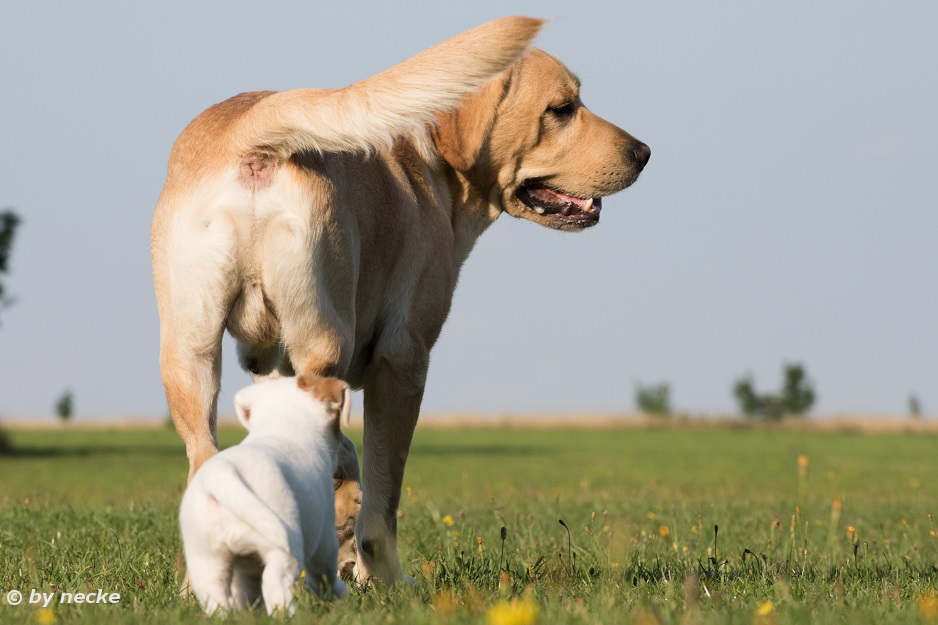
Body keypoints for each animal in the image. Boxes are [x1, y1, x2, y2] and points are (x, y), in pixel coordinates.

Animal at [150, 15, 648, 584]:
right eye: (562, 108)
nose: (644, 152)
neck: (431, 162)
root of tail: (248, 129)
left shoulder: (270, 367)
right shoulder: (403, 360)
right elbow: (382, 498)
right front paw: (385, 578)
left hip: (190, 355)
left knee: (206, 462)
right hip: (326, 340)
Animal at [178, 376, 352, 616]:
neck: (280, 423)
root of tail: (222, 475)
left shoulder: (246, 564)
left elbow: (246, 590)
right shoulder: (325, 535)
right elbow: (324, 573)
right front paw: (339, 593)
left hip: (206, 561)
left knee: (217, 599)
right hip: (282, 549)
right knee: (275, 586)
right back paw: (286, 615)